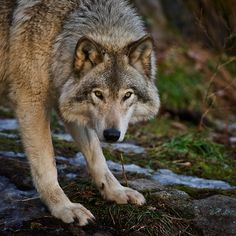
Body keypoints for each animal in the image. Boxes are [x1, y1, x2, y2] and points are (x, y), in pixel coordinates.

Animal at [0, 0, 160, 226]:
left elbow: (97, 156)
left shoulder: (67, 104)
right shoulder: (31, 102)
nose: (112, 135)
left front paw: (116, 191)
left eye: (127, 95)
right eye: (98, 94)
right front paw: (64, 207)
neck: (57, 34)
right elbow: (47, 164)